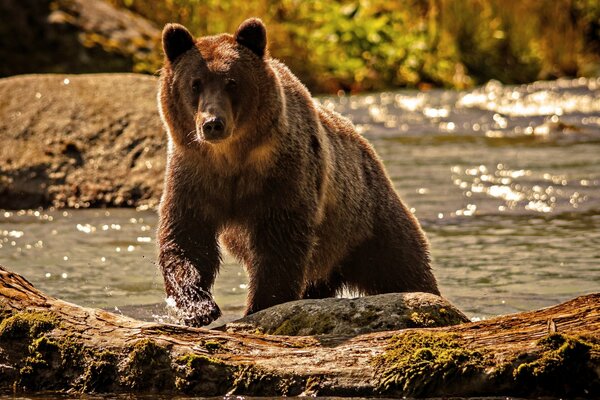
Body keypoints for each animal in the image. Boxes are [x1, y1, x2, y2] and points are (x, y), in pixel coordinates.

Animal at [155, 17, 438, 326]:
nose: (213, 123)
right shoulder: (194, 174)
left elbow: (280, 243)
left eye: (232, 82)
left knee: (402, 265)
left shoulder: (283, 175)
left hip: (367, 221)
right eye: (195, 83)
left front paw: (261, 305)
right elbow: (187, 236)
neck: (231, 158)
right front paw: (198, 307)